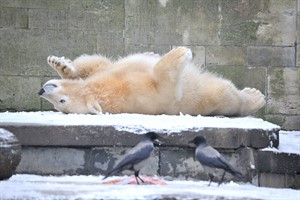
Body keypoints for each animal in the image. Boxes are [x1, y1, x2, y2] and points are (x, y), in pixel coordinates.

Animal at [38, 47, 264, 115]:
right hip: (210, 96)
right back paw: (255, 96)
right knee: (226, 94)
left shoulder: (111, 73)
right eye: (61, 103)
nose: (42, 90)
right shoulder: (140, 94)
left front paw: (60, 64)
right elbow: (165, 86)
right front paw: (181, 53)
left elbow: (96, 63)